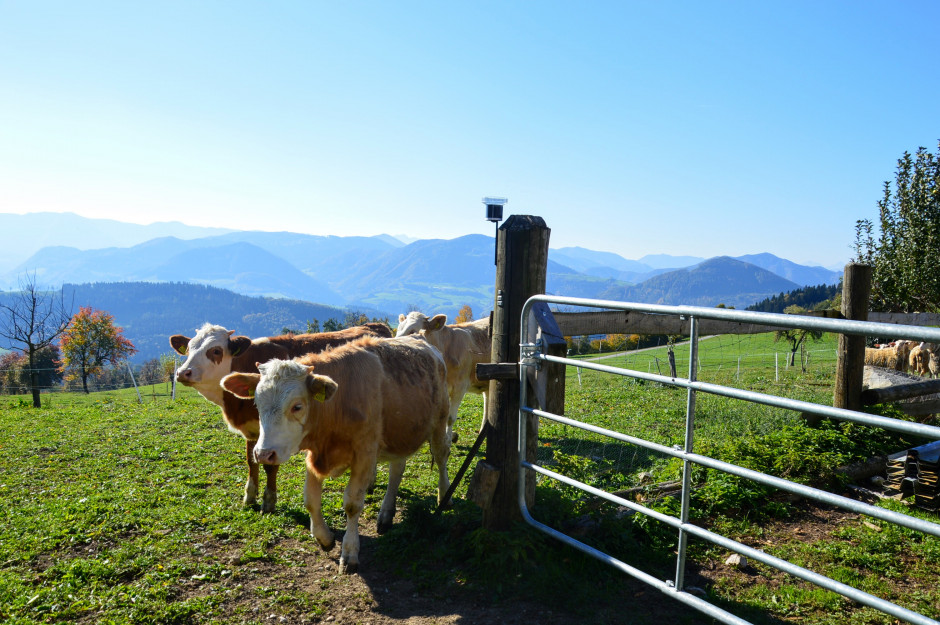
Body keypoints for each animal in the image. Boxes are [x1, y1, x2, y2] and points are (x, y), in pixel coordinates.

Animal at [168, 324, 390, 510]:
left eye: (215, 350)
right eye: (188, 349)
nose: (182, 373)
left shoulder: (274, 435)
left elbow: (269, 466)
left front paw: (269, 500)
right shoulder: (253, 431)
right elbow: (251, 461)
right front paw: (250, 496)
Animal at [222, 334, 454, 572]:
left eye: (297, 406)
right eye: (257, 404)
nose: (263, 454)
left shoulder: (365, 452)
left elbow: (352, 504)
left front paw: (350, 551)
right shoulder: (314, 455)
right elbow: (310, 500)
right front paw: (324, 538)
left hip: (440, 421)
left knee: (441, 455)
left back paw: (444, 494)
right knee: (397, 470)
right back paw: (386, 514)